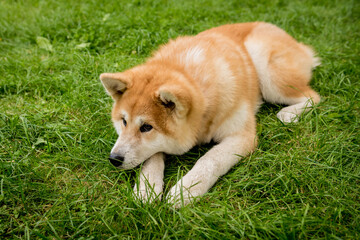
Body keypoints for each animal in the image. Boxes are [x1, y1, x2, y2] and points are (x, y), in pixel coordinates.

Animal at [99, 21, 320, 207]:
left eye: (146, 127)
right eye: (123, 121)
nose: (114, 158)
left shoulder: (241, 136)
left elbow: (211, 159)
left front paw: (186, 189)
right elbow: (152, 158)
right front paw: (147, 188)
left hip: (268, 73)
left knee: (313, 97)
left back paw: (289, 114)